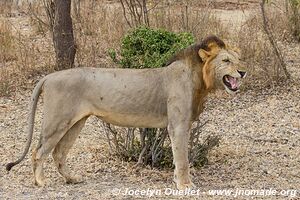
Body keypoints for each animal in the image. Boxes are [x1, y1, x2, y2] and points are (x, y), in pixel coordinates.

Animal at [6, 35, 246, 190]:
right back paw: (40, 182)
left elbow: (179, 157)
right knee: (39, 151)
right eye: (226, 61)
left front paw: (177, 181)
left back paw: (73, 179)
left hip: (76, 122)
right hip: (57, 121)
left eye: (238, 59)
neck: (199, 79)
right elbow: (183, 157)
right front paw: (185, 185)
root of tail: (48, 77)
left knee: (58, 153)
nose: (243, 72)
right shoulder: (178, 125)